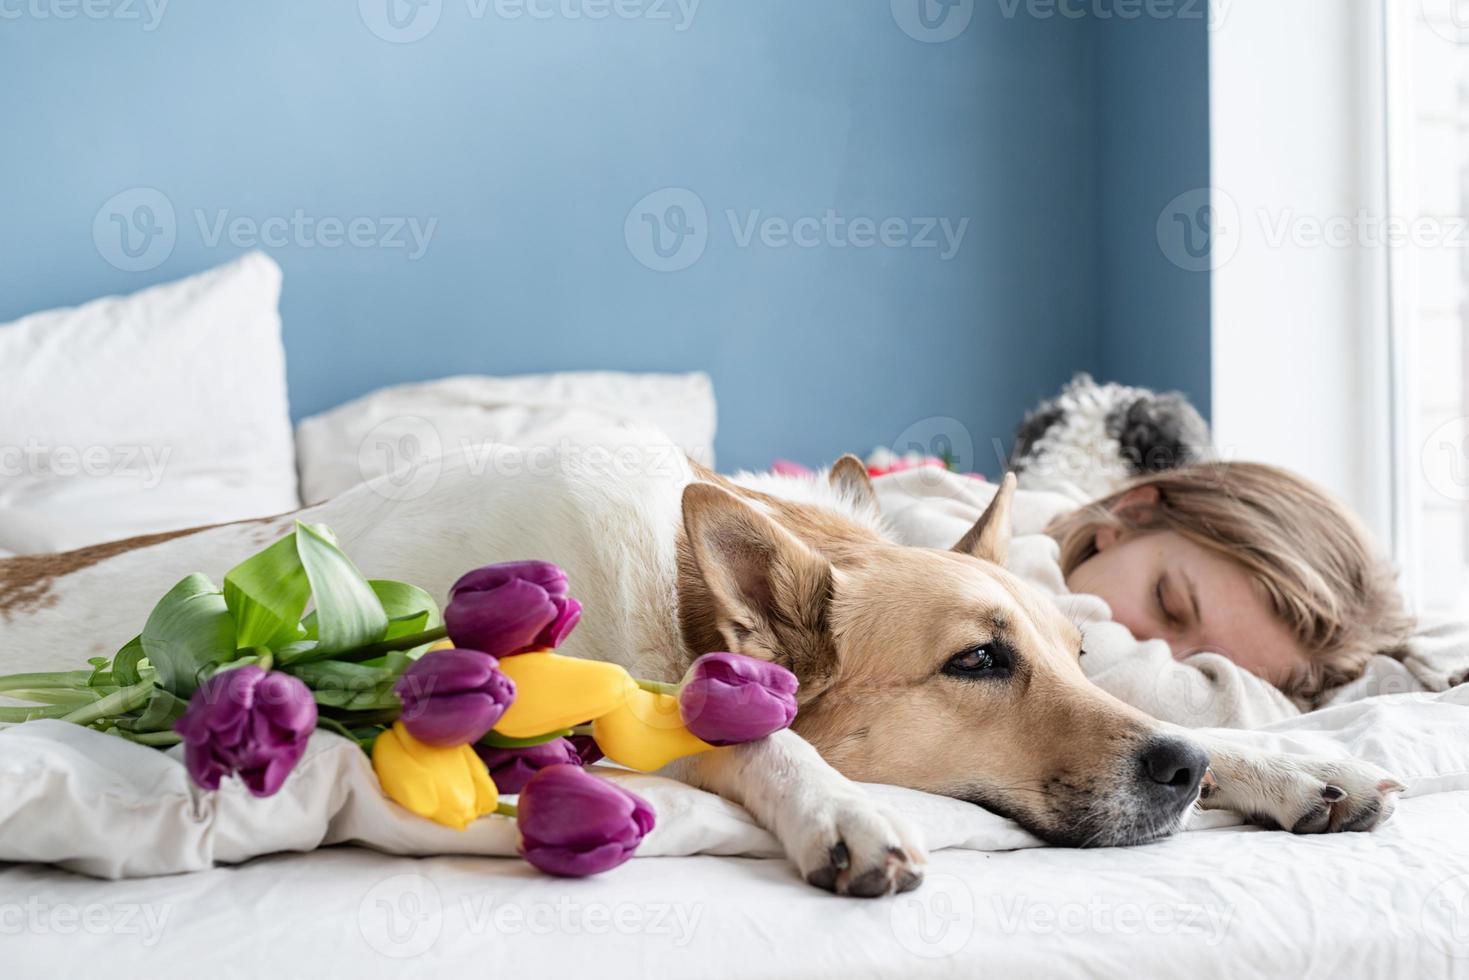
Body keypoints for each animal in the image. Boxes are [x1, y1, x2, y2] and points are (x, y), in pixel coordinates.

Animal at [0, 431, 1398, 899]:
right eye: (976, 661)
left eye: (1072, 648)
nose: (1172, 772)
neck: (669, 598)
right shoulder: (606, 715)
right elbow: (758, 734)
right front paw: (838, 811)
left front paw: (1284, 762)